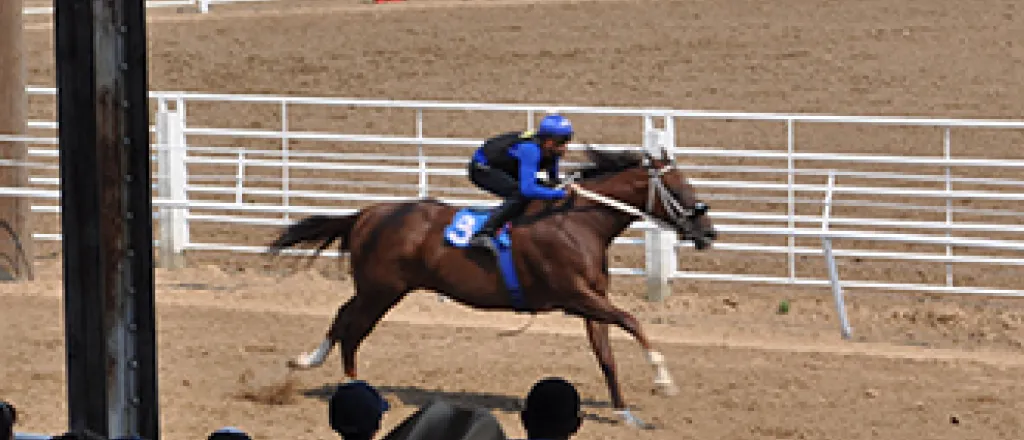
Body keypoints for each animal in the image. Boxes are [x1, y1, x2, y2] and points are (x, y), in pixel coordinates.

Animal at [268, 144, 716, 425]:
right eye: (677, 188)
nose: (708, 232)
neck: (577, 223)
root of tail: (366, 214)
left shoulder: (590, 300)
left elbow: (606, 355)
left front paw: (625, 413)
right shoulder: (575, 295)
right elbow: (633, 322)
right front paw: (663, 380)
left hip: (376, 289)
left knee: (344, 315)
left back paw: (307, 361)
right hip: (382, 290)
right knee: (353, 329)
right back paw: (352, 385)